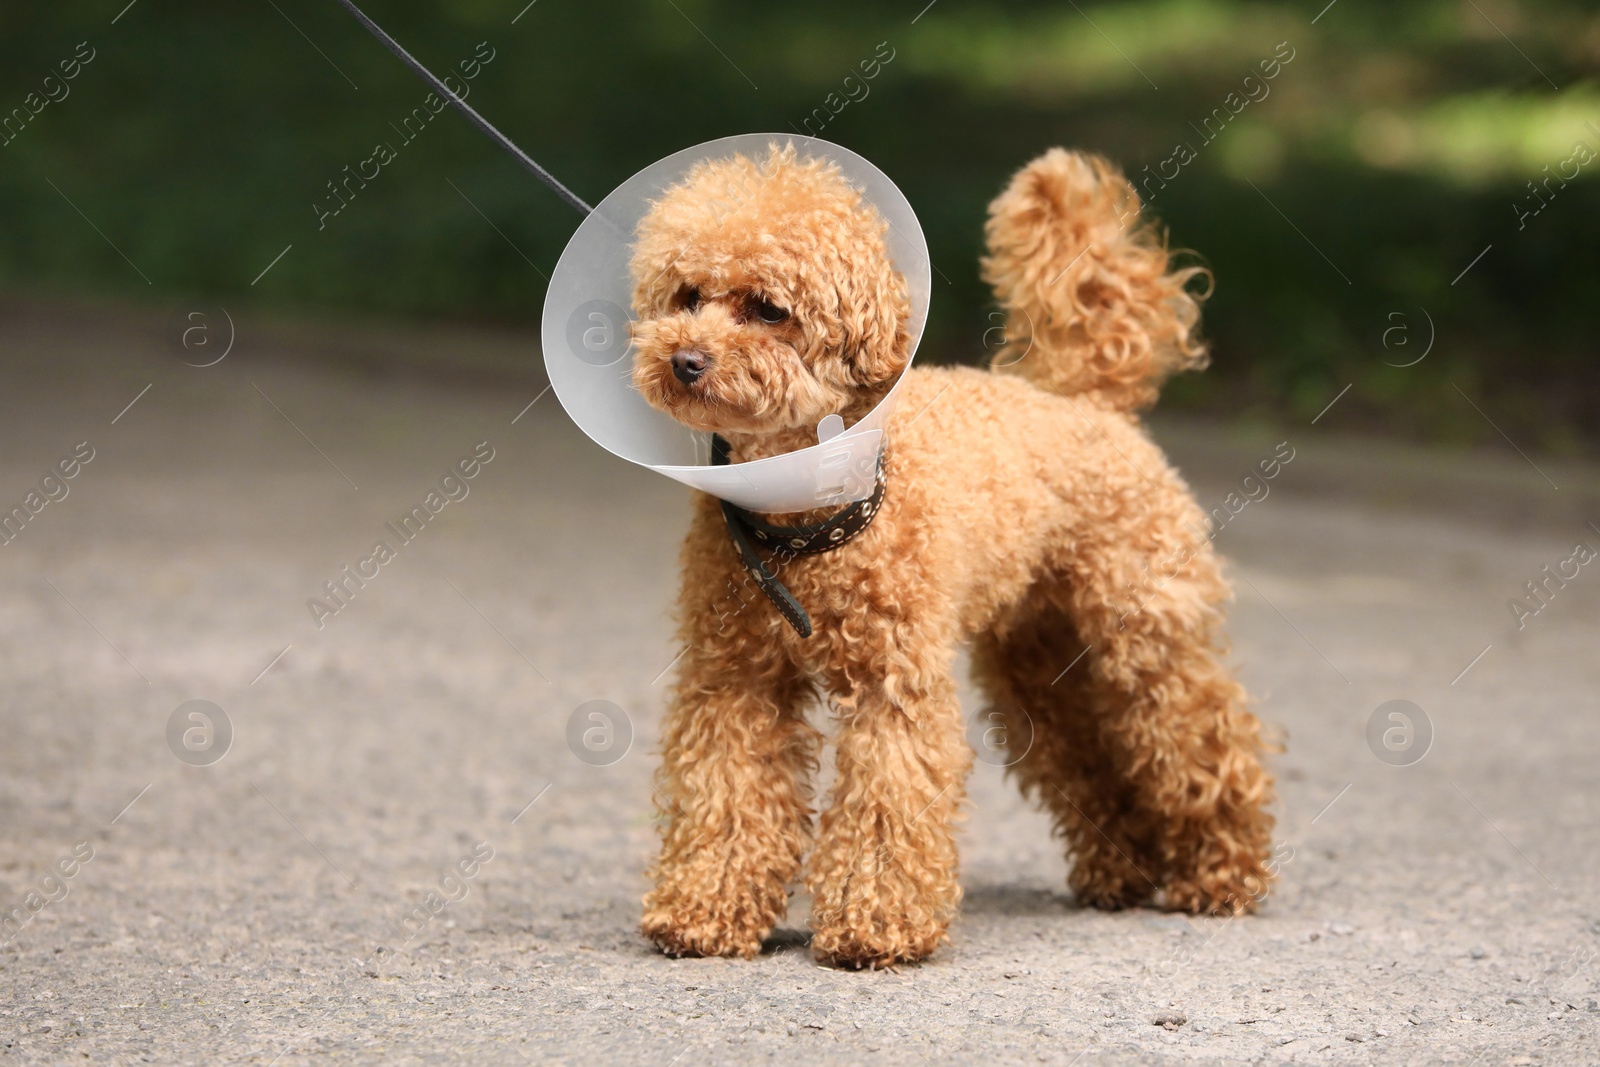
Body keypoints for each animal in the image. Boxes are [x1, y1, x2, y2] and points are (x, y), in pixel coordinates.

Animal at [624, 139, 1273, 966]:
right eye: (686, 295)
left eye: (769, 308)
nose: (684, 359)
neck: (809, 515)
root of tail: (1085, 401)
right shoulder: (733, 679)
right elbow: (727, 792)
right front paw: (704, 909)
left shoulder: (892, 683)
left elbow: (887, 798)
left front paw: (874, 925)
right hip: (1040, 656)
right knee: (1087, 752)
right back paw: (1121, 871)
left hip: (1144, 632)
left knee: (1200, 737)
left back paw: (1222, 873)